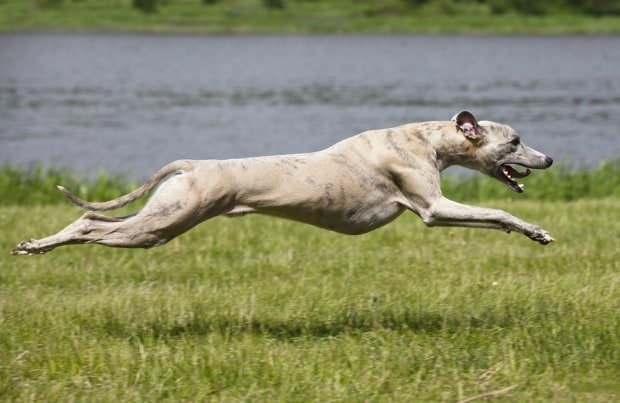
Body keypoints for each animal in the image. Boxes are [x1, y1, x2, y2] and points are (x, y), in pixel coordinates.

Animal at [12, 111, 554, 256]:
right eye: (515, 140)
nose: (549, 158)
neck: (428, 138)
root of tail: (190, 165)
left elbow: (496, 216)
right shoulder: (434, 210)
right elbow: (499, 212)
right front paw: (535, 230)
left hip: (160, 215)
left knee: (88, 217)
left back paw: (34, 245)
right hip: (158, 226)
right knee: (89, 224)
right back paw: (37, 246)